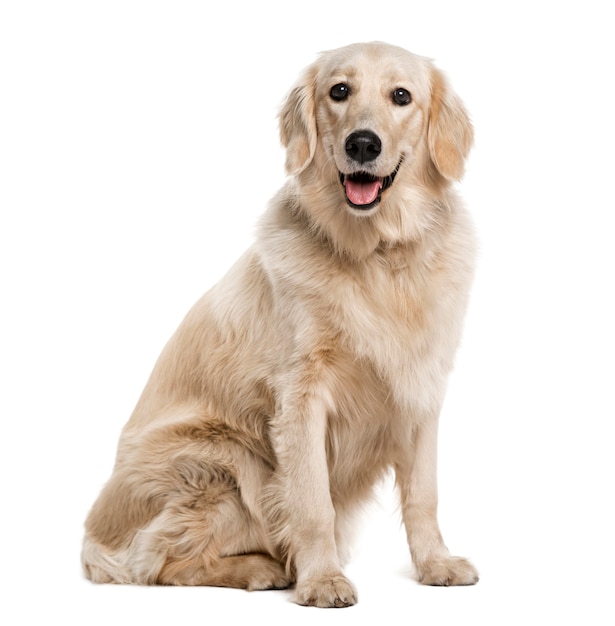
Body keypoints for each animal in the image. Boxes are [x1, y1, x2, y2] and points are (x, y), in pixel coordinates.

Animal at [82, 42, 478, 604]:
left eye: (402, 96)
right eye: (339, 90)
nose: (362, 144)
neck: (377, 255)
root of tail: (92, 538)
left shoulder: (422, 386)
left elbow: (424, 494)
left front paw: (435, 563)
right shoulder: (300, 397)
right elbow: (313, 504)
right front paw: (323, 579)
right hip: (227, 459)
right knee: (157, 563)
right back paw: (260, 569)